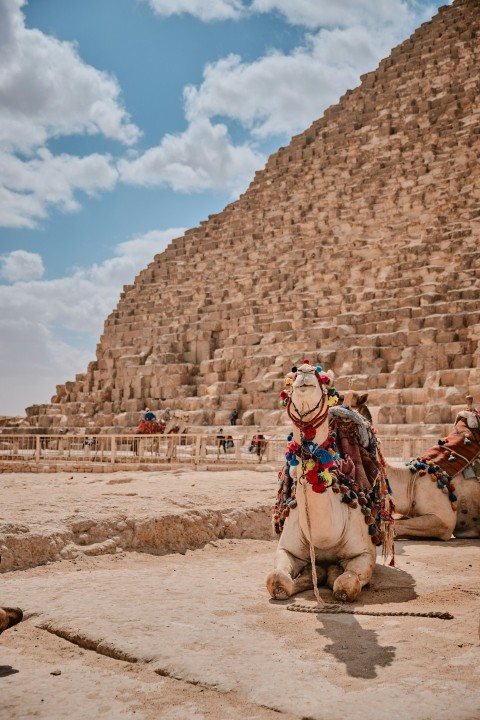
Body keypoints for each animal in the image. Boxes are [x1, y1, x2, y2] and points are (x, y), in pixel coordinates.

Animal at [266, 362, 394, 604]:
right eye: (291, 374)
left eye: (324, 378)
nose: (304, 370)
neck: (324, 536)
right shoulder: (286, 549)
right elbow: (276, 580)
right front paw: (312, 574)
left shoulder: (364, 554)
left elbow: (346, 585)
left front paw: (333, 573)